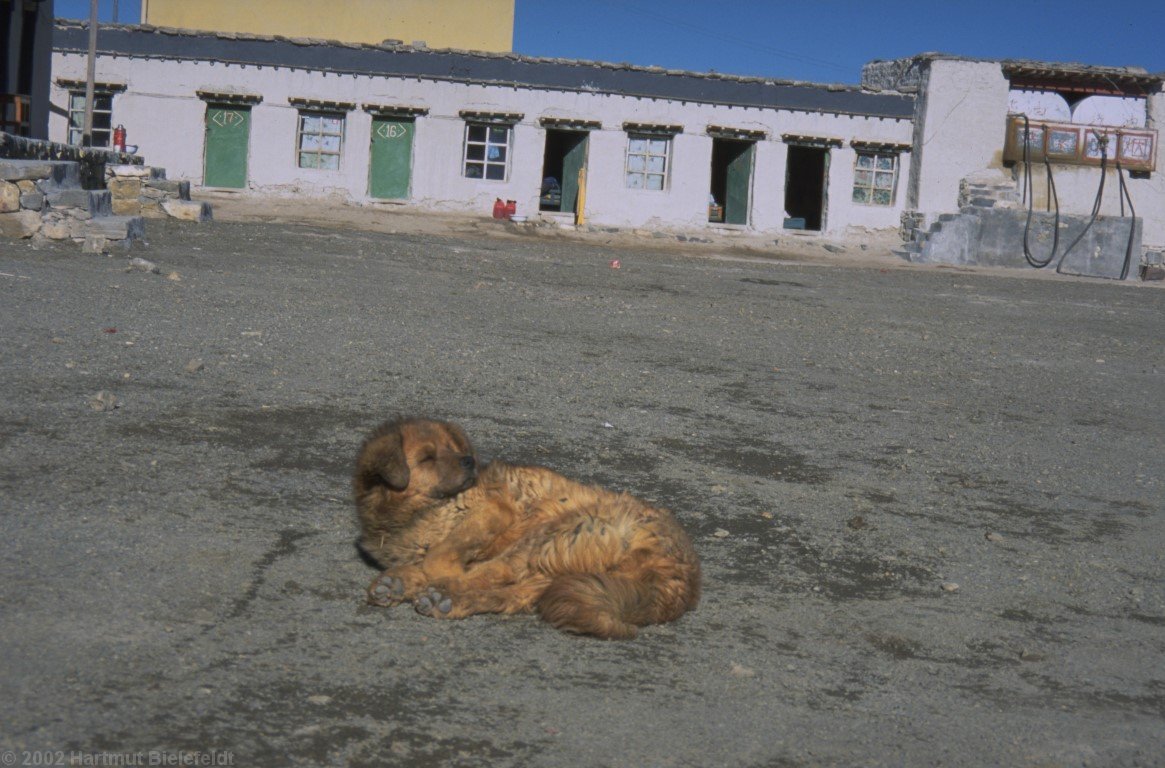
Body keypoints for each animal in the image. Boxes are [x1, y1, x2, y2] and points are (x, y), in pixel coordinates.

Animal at [354, 417, 699, 638]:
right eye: (427, 457)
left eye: (454, 448)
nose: (469, 461)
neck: (413, 511)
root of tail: (685, 576)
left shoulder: (494, 510)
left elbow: (441, 554)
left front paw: (429, 572)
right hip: (554, 573)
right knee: (506, 594)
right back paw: (437, 598)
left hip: (552, 534)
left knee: (492, 573)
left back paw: (431, 587)